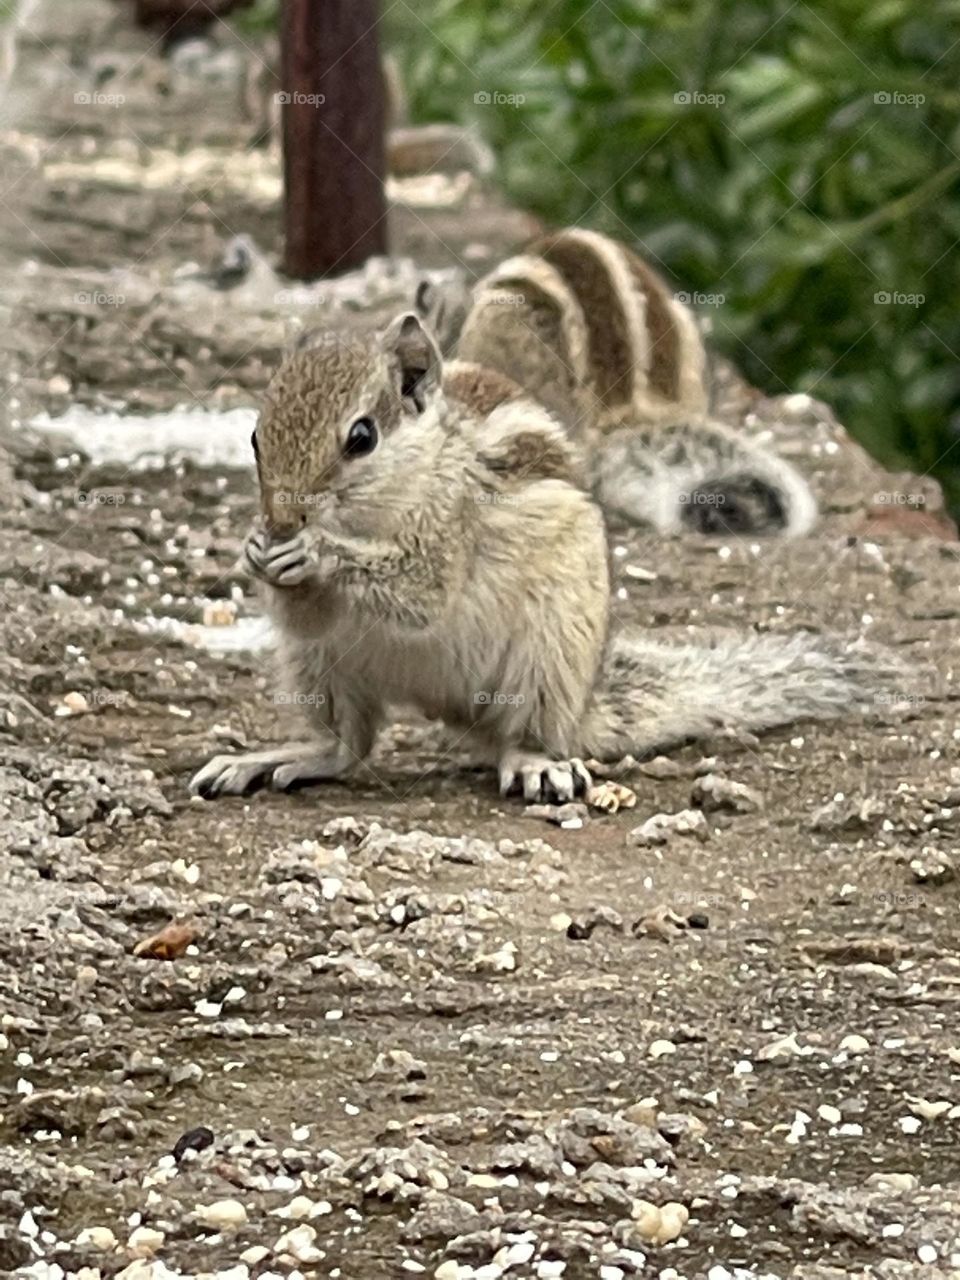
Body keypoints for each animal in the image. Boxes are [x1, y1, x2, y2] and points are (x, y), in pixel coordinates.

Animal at [190, 313, 899, 804]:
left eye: (361, 437)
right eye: (254, 436)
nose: (282, 519)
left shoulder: (450, 528)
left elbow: (420, 593)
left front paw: (318, 551)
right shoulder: (313, 619)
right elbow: (310, 611)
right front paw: (258, 552)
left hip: (545, 658)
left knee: (520, 736)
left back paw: (534, 763)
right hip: (319, 667)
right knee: (347, 745)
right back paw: (275, 757)